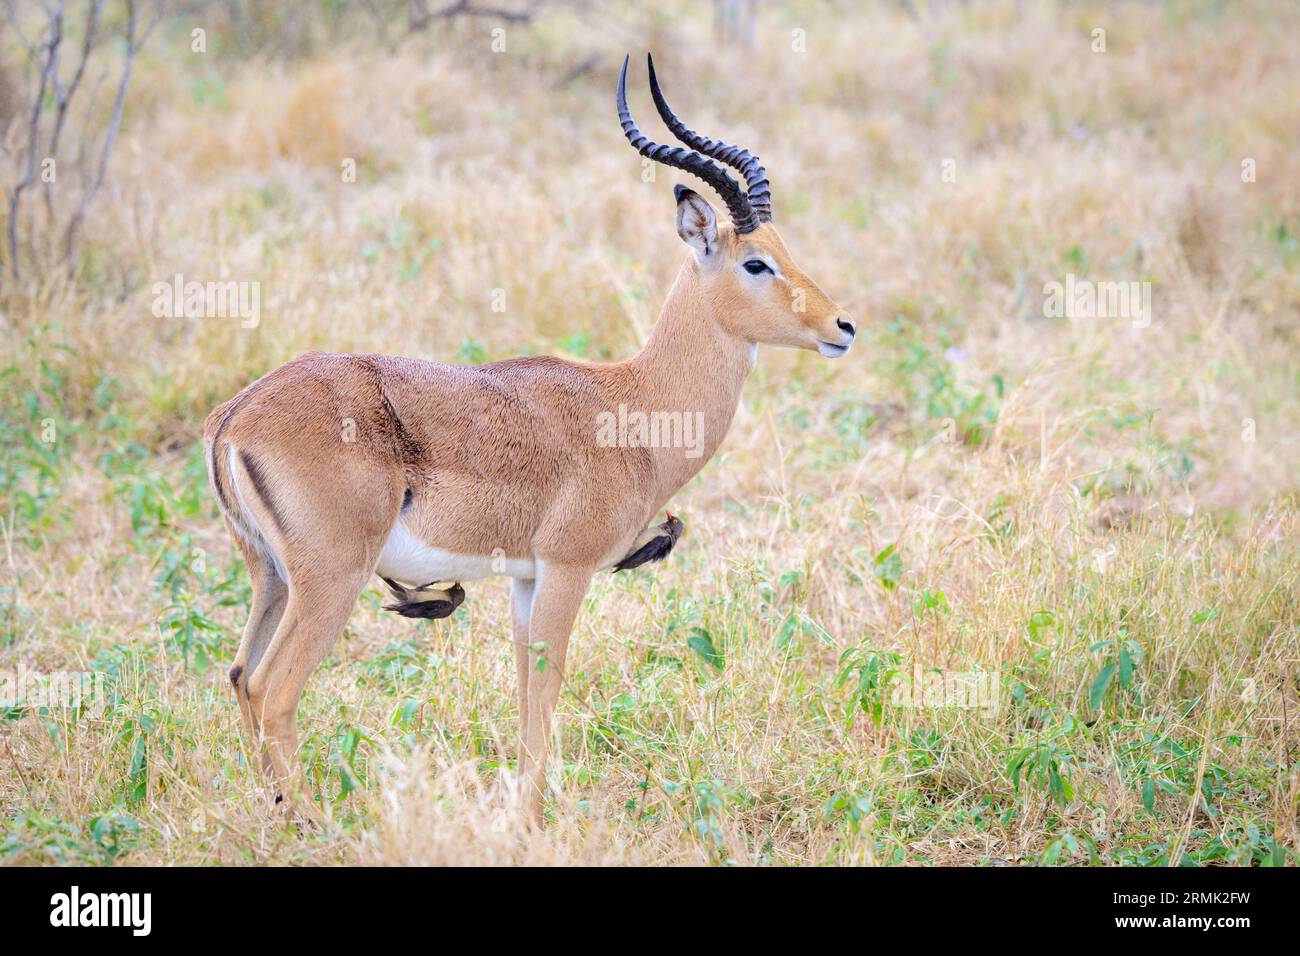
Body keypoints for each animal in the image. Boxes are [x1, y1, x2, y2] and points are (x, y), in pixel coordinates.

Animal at [203, 54, 856, 826]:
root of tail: (237, 414)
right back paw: (309, 823)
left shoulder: (522, 578)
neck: (630, 405)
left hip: (272, 576)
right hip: (332, 578)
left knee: (239, 674)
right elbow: (547, 689)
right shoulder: (567, 569)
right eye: (756, 262)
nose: (842, 327)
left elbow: (521, 691)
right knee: (272, 689)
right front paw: (530, 823)